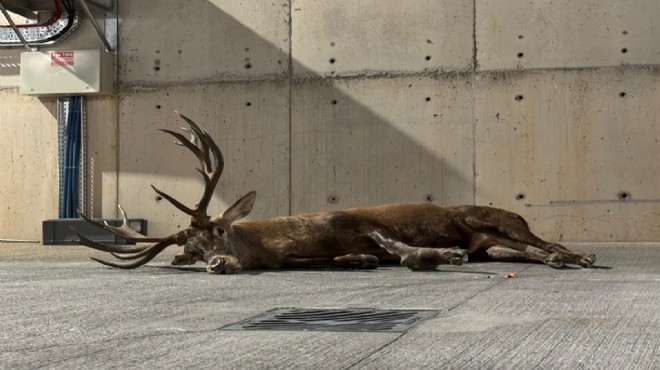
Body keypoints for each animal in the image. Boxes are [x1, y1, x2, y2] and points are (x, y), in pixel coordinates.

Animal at [75, 111, 596, 274]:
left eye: (219, 231)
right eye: (193, 249)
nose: (216, 263)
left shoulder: (359, 220)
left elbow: (396, 246)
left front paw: (438, 255)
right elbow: (347, 257)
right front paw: (359, 260)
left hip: (492, 221)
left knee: (542, 240)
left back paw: (579, 256)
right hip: (494, 244)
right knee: (525, 252)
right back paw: (557, 259)